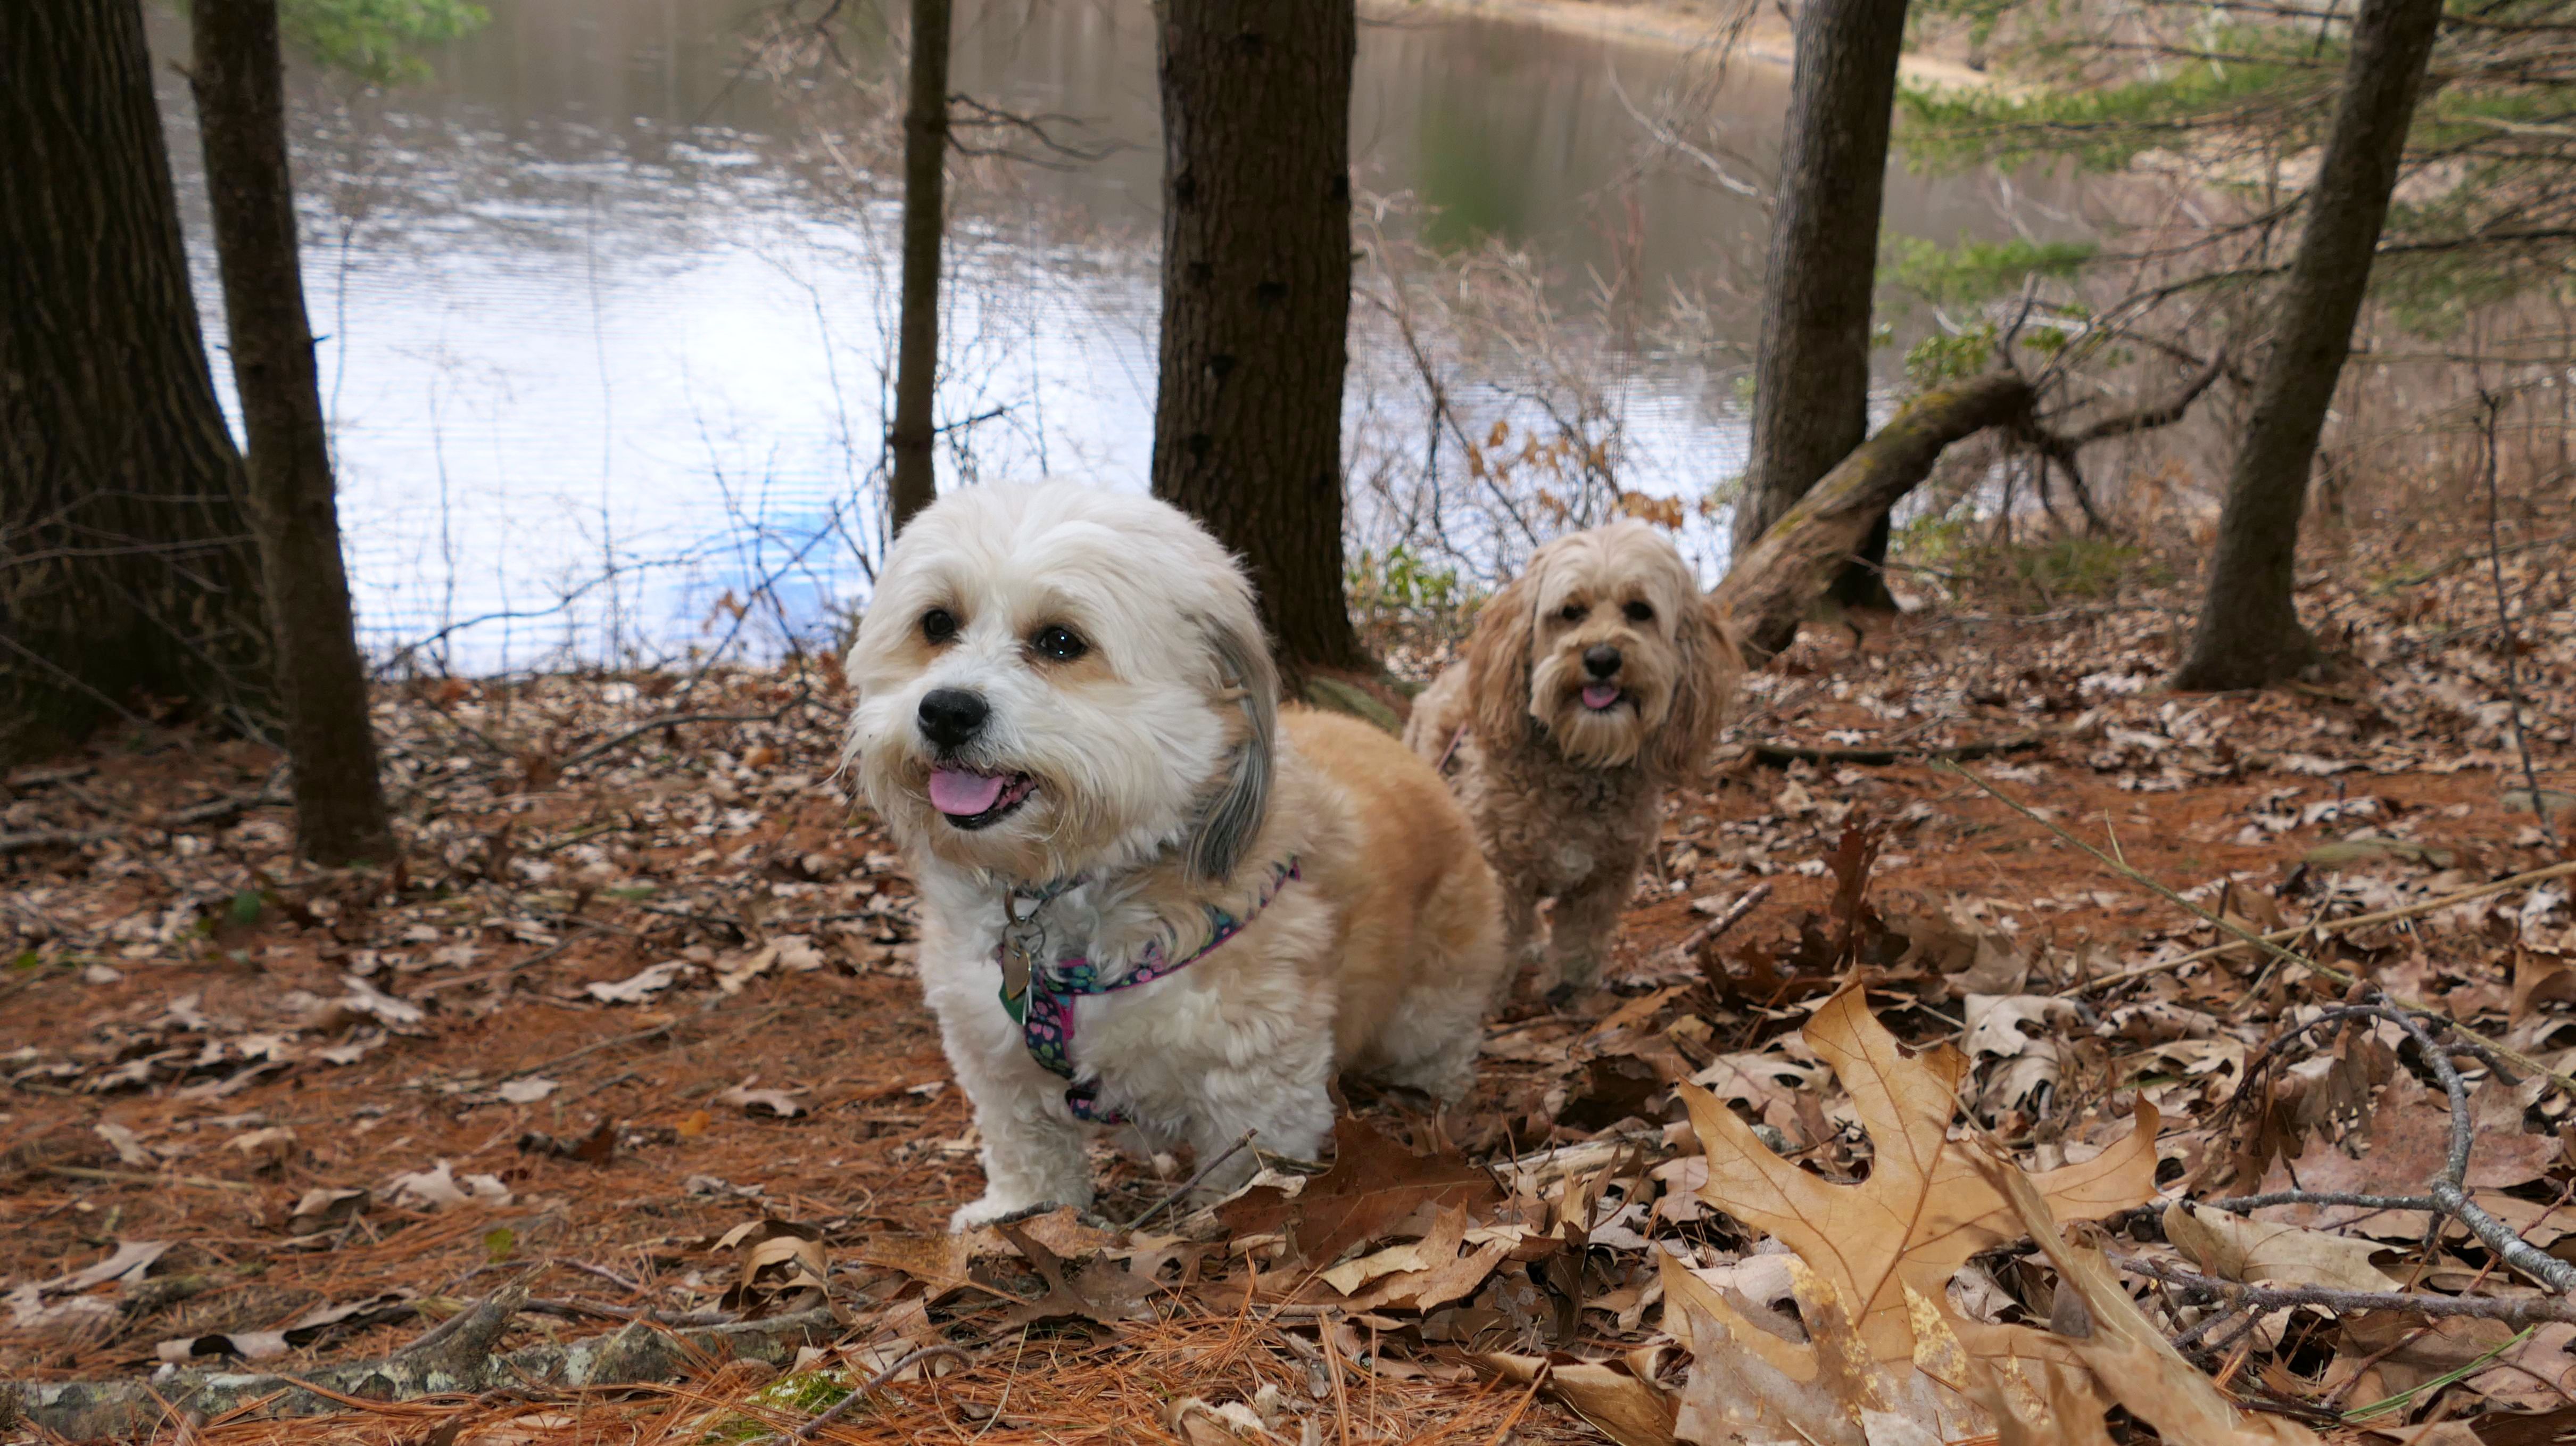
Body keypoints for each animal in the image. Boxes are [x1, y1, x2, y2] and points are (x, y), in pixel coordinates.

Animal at [843, 483, 1506, 1230]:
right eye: (936, 622)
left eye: (1060, 640)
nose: (946, 710)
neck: (1073, 892)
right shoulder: (996, 1058)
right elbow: (1027, 1148)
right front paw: (1016, 1211)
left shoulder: (1257, 1078)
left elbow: (1245, 1170)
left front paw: (1227, 1223)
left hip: (1430, 996)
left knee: (1441, 1040)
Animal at [1404, 521, 1735, 995]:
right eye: (1569, 611)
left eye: (1640, 610)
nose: (1601, 658)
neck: (1580, 762)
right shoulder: (1499, 869)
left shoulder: (1604, 878)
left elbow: (1580, 941)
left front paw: (1567, 989)